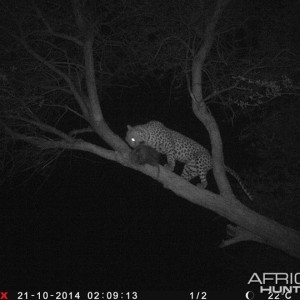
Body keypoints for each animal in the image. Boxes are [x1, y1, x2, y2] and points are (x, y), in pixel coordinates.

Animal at [125, 120, 253, 202]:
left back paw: (201, 185)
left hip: (201, 161)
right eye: (129, 142)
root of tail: (211, 159)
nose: (133, 147)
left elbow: (170, 157)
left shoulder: (169, 144)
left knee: (205, 180)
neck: (149, 136)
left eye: (133, 139)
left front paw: (170, 166)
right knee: (188, 176)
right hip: (190, 166)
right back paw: (182, 179)